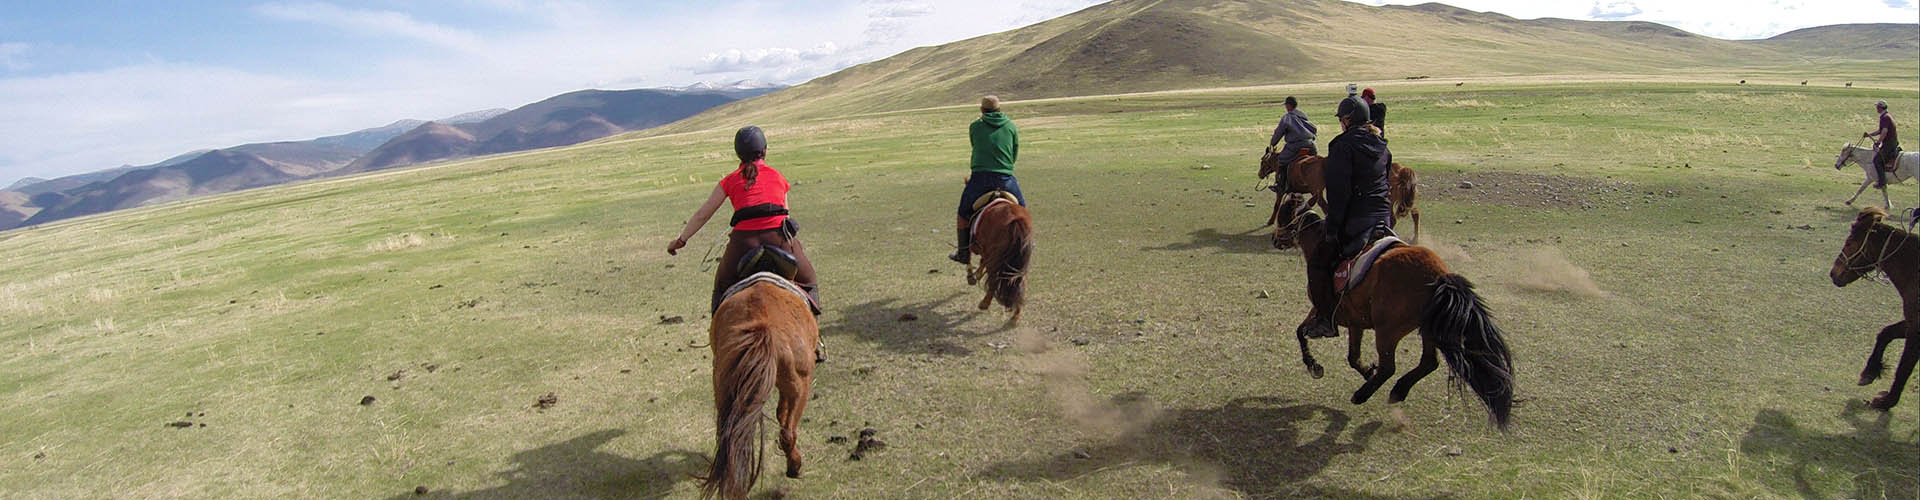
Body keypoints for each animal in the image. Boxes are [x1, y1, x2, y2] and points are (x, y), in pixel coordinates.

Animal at [967, 193, 1044, 326]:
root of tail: (1016, 218)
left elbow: (977, 260)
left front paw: (974, 275)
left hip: (994, 258)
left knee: (993, 280)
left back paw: (984, 304)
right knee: (1021, 281)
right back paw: (1015, 317)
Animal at [1251, 149, 1420, 241]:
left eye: (1262, 161)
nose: (1260, 174)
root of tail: (1402, 170)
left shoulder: (1283, 190)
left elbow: (1277, 204)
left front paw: (1270, 221)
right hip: (1406, 200)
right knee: (1415, 213)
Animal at [1274, 200, 1512, 426]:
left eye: (1283, 215)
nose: (1276, 240)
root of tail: (1438, 276)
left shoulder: (1321, 309)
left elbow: (1302, 331)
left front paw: (1314, 365)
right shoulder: (1355, 322)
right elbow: (1352, 356)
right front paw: (1365, 371)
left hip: (1387, 331)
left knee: (1389, 367)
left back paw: (1362, 395)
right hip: (1428, 329)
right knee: (1428, 362)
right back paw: (1398, 390)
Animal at [1827, 205, 1920, 409]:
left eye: (1849, 242)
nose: (1833, 273)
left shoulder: (1916, 332)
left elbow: (1904, 367)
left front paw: (1887, 401)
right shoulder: (1911, 323)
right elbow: (1885, 333)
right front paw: (1869, 372)